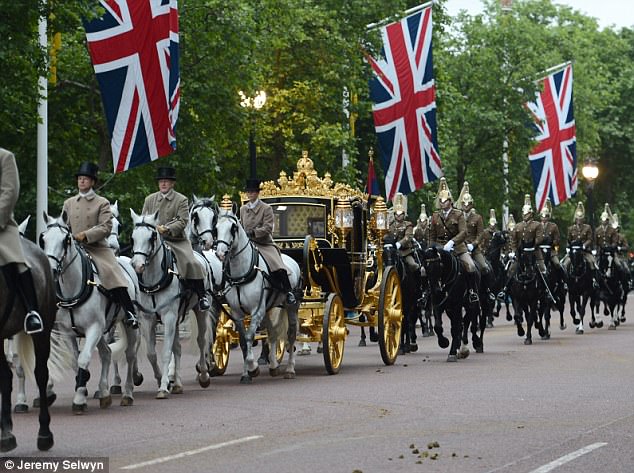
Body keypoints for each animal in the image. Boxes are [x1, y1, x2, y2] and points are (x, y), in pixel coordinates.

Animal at [40, 212, 140, 412]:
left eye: (65, 240)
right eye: (43, 239)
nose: (51, 271)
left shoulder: (94, 327)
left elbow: (84, 358)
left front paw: (79, 398)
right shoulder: (68, 331)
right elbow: (74, 360)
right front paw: (83, 384)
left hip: (126, 324)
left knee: (130, 355)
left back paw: (127, 393)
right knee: (106, 353)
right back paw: (104, 392)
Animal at [130, 208, 214, 396]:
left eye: (152, 237)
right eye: (133, 237)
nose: (138, 265)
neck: (155, 281)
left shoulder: (168, 317)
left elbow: (166, 352)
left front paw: (163, 386)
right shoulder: (149, 319)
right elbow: (152, 353)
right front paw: (162, 379)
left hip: (200, 311)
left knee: (201, 340)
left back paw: (204, 375)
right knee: (178, 347)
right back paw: (177, 384)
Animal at [214, 209, 300, 384]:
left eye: (233, 228)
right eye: (216, 227)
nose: (220, 253)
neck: (241, 273)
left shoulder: (256, 311)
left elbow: (249, 338)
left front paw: (253, 368)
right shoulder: (237, 314)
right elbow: (243, 342)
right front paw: (246, 374)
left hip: (291, 306)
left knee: (291, 334)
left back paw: (290, 369)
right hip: (269, 308)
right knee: (272, 333)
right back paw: (273, 366)